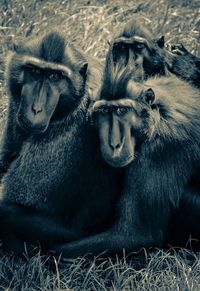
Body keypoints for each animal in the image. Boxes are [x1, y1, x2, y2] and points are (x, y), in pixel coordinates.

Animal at [50, 66, 200, 260]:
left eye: (122, 111)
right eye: (104, 112)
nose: (114, 144)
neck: (158, 113)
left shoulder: (161, 150)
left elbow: (137, 234)